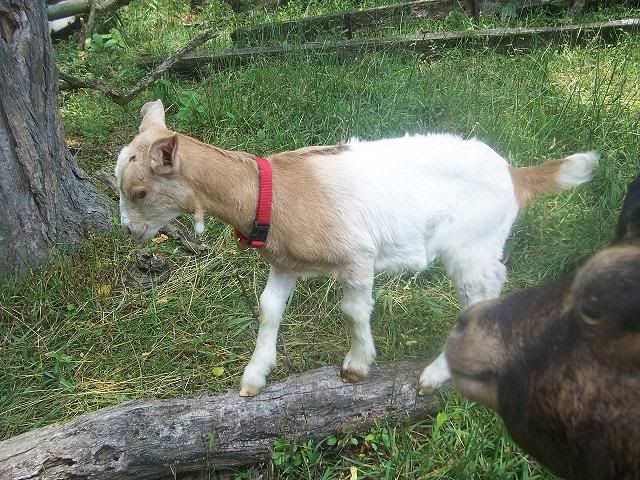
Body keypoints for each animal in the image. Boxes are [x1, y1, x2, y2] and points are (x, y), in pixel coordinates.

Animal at [115, 99, 597, 397]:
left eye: (138, 191)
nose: (127, 231)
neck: (270, 193)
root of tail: (514, 176)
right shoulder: (285, 263)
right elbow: (269, 309)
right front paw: (254, 376)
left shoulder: (356, 257)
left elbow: (353, 310)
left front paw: (357, 365)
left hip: (471, 245)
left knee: (481, 293)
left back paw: (435, 374)